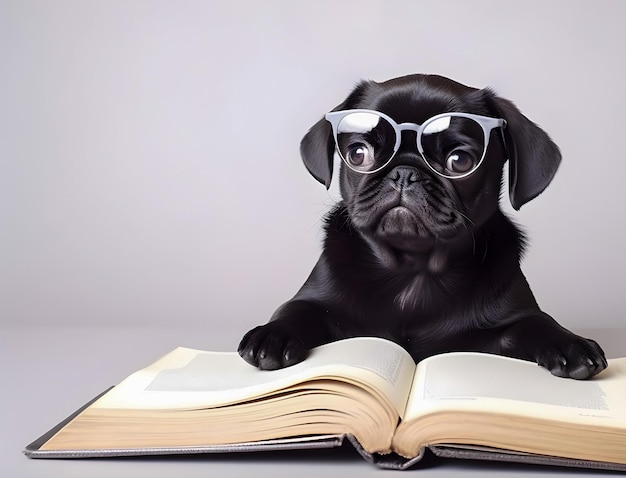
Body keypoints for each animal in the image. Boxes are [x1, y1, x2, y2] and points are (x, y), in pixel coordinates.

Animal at [236, 74, 604, 380]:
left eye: (460, 161)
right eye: (358, 153)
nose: (404, 172)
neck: (413, 269)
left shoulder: (501, 328)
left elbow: (535, 322)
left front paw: (570, 343)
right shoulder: (319, 303)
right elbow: (295, 309)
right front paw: (272, 334)